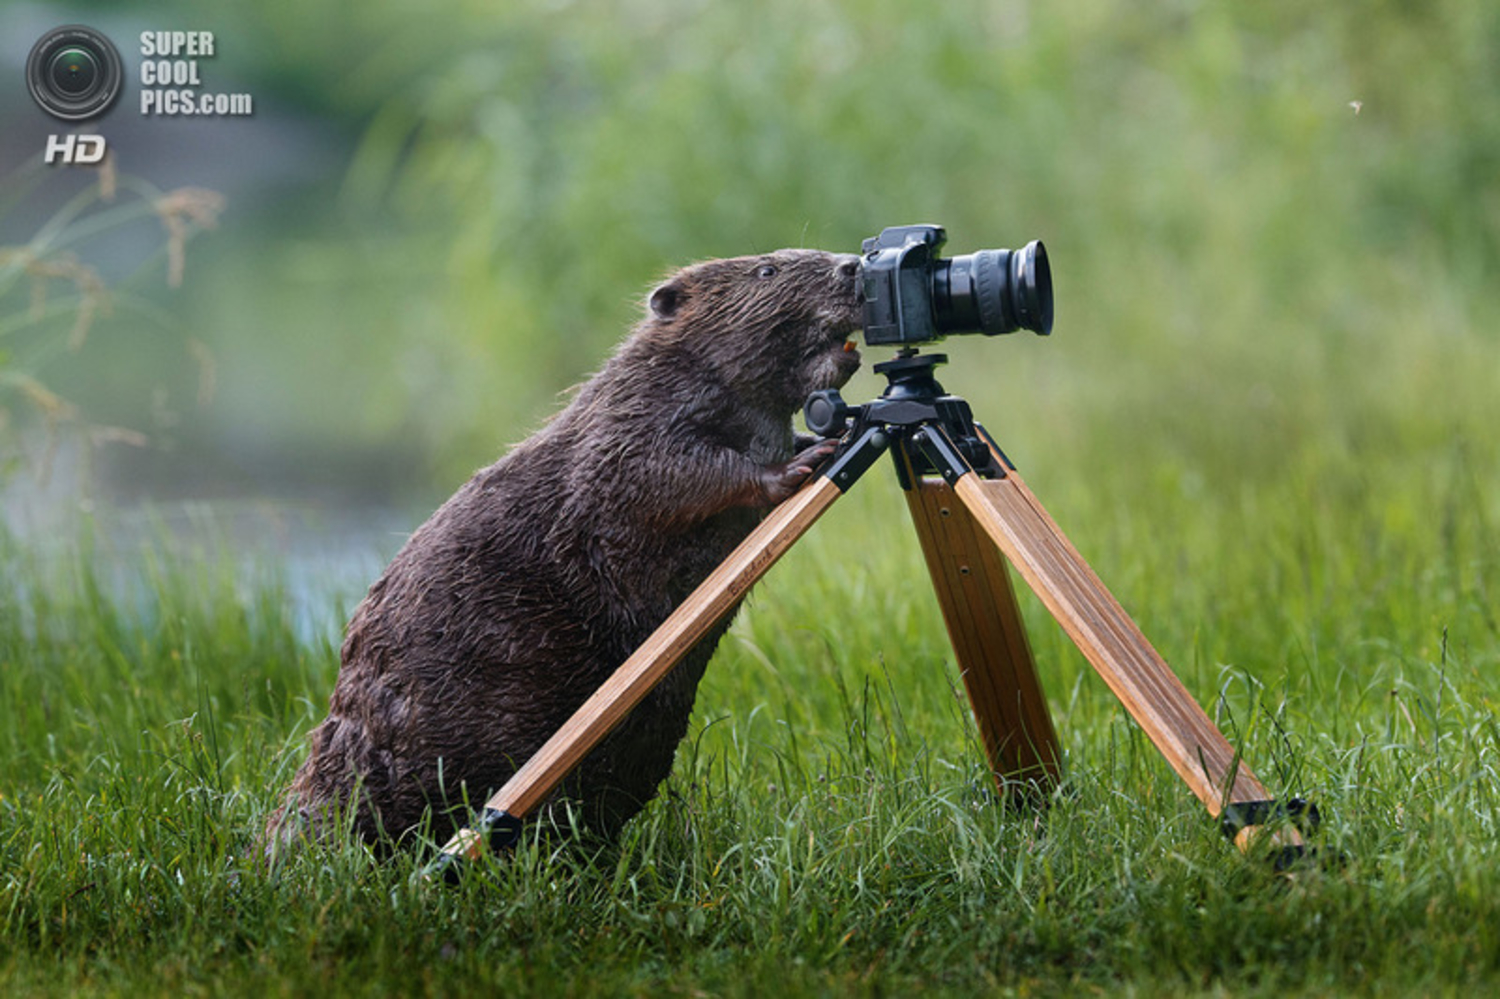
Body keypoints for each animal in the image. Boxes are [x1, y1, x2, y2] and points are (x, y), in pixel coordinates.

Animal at [264, 243, 864, 846]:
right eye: (768, 270)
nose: (852, 265)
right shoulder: (629, 425)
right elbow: (666, 471)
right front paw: (798, 464)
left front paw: (822, 433)